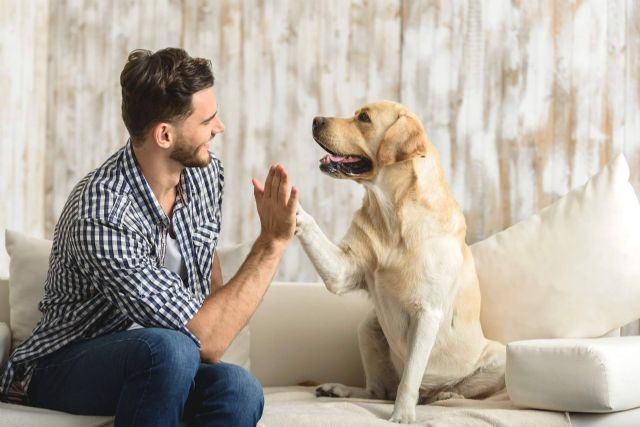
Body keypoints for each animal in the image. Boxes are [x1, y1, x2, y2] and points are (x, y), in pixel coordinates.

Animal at [296, 101, 504, 424]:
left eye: (364, 118)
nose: (316, 119)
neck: (392, 214)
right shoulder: (342, 270)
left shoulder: (427, 313)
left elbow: (410, 377)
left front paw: (402, 415)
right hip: (368, 327)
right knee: (377, 391)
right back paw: (338, 389)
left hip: (498, 357)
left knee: (449, 390)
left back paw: (444, 394)